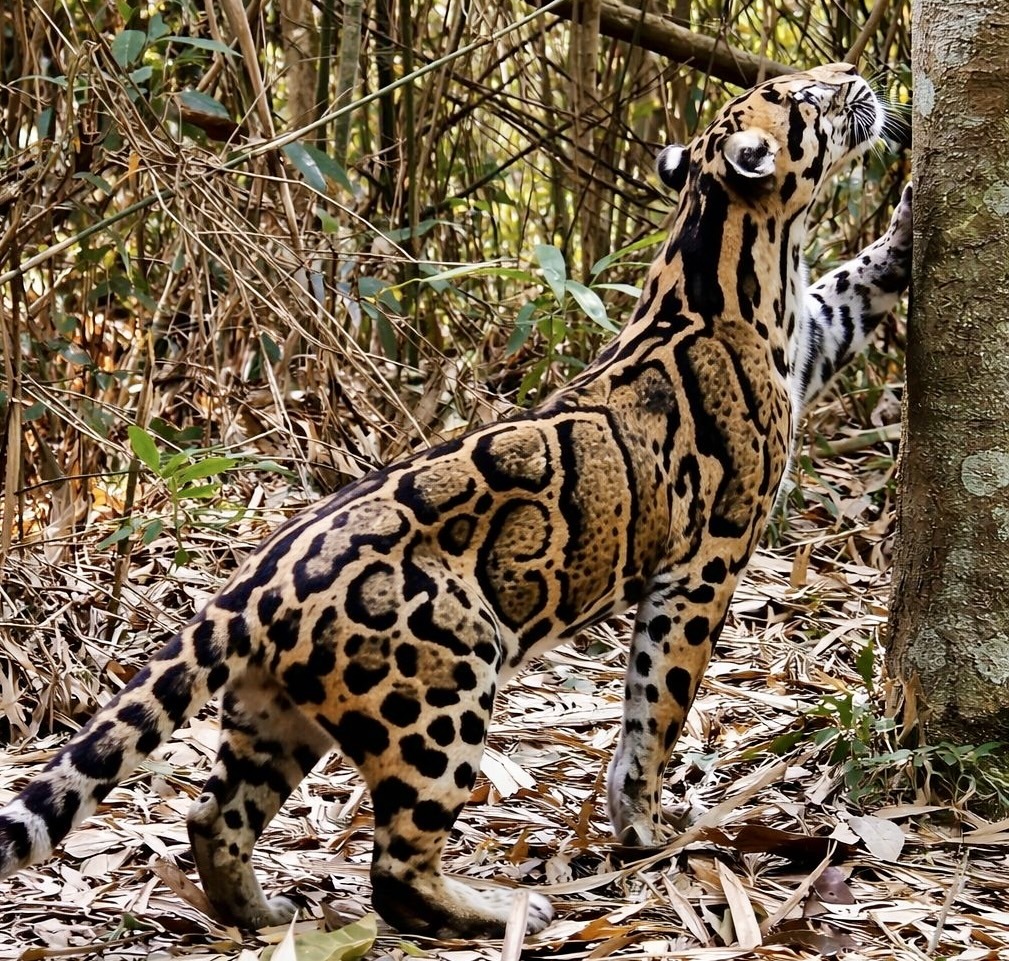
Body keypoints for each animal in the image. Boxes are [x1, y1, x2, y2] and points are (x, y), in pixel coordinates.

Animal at [0, 63, 911, 940]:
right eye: (807, 95)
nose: (859, 75)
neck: (729, 251)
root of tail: (253, 583)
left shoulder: (816, 333)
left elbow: (861, 281)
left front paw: (907, 212)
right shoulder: (705, 563)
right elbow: (658, 703)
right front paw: (645, 826)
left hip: (273, 712)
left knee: (211, 814)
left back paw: (261, 914)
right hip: (442, 689)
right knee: (394, 868)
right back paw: (504, 910)